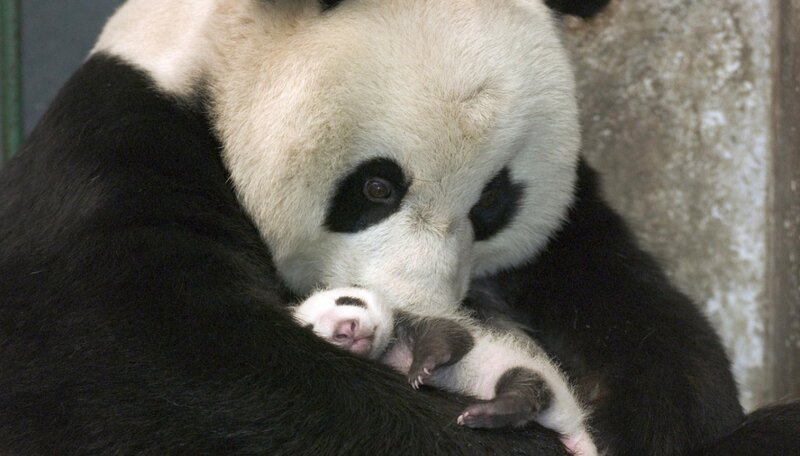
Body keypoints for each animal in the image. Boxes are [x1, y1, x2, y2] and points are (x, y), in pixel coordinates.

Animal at [1, 0, 798, 455]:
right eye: (377, 186)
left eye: (492, 205)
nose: (420, 311)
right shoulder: (112, 168)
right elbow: (177, 374)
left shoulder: (570, 230)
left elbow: (647, 323)